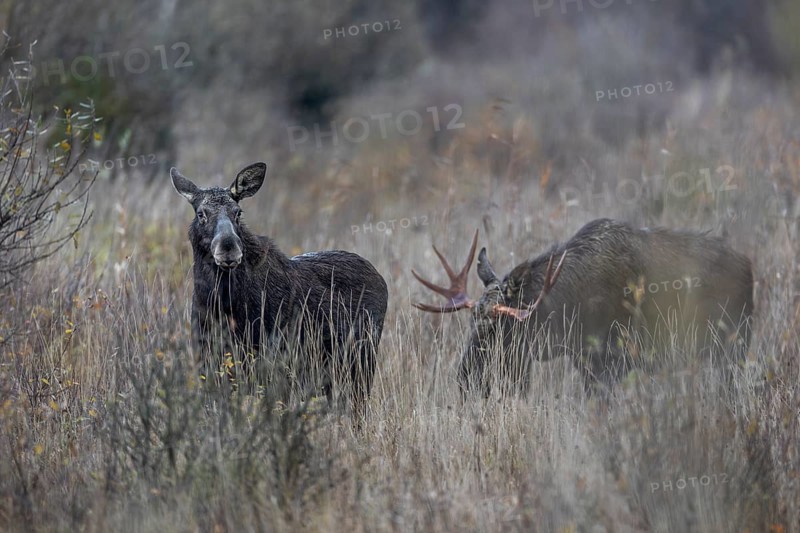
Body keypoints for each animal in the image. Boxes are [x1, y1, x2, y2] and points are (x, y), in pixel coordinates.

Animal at [171, 162, 388, 418]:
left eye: (238, 212)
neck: (224, 306)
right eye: (201, 213)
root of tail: (381, 279)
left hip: (361, 369)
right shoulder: (209, 368)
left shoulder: (276, 370)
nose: (228, 248)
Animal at [412, 218, 753, 397]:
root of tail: (749, 269)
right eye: (472, 320)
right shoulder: (586, 361)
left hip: (733, 347)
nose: (465, 378)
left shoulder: (614, 360)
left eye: (501, 325)